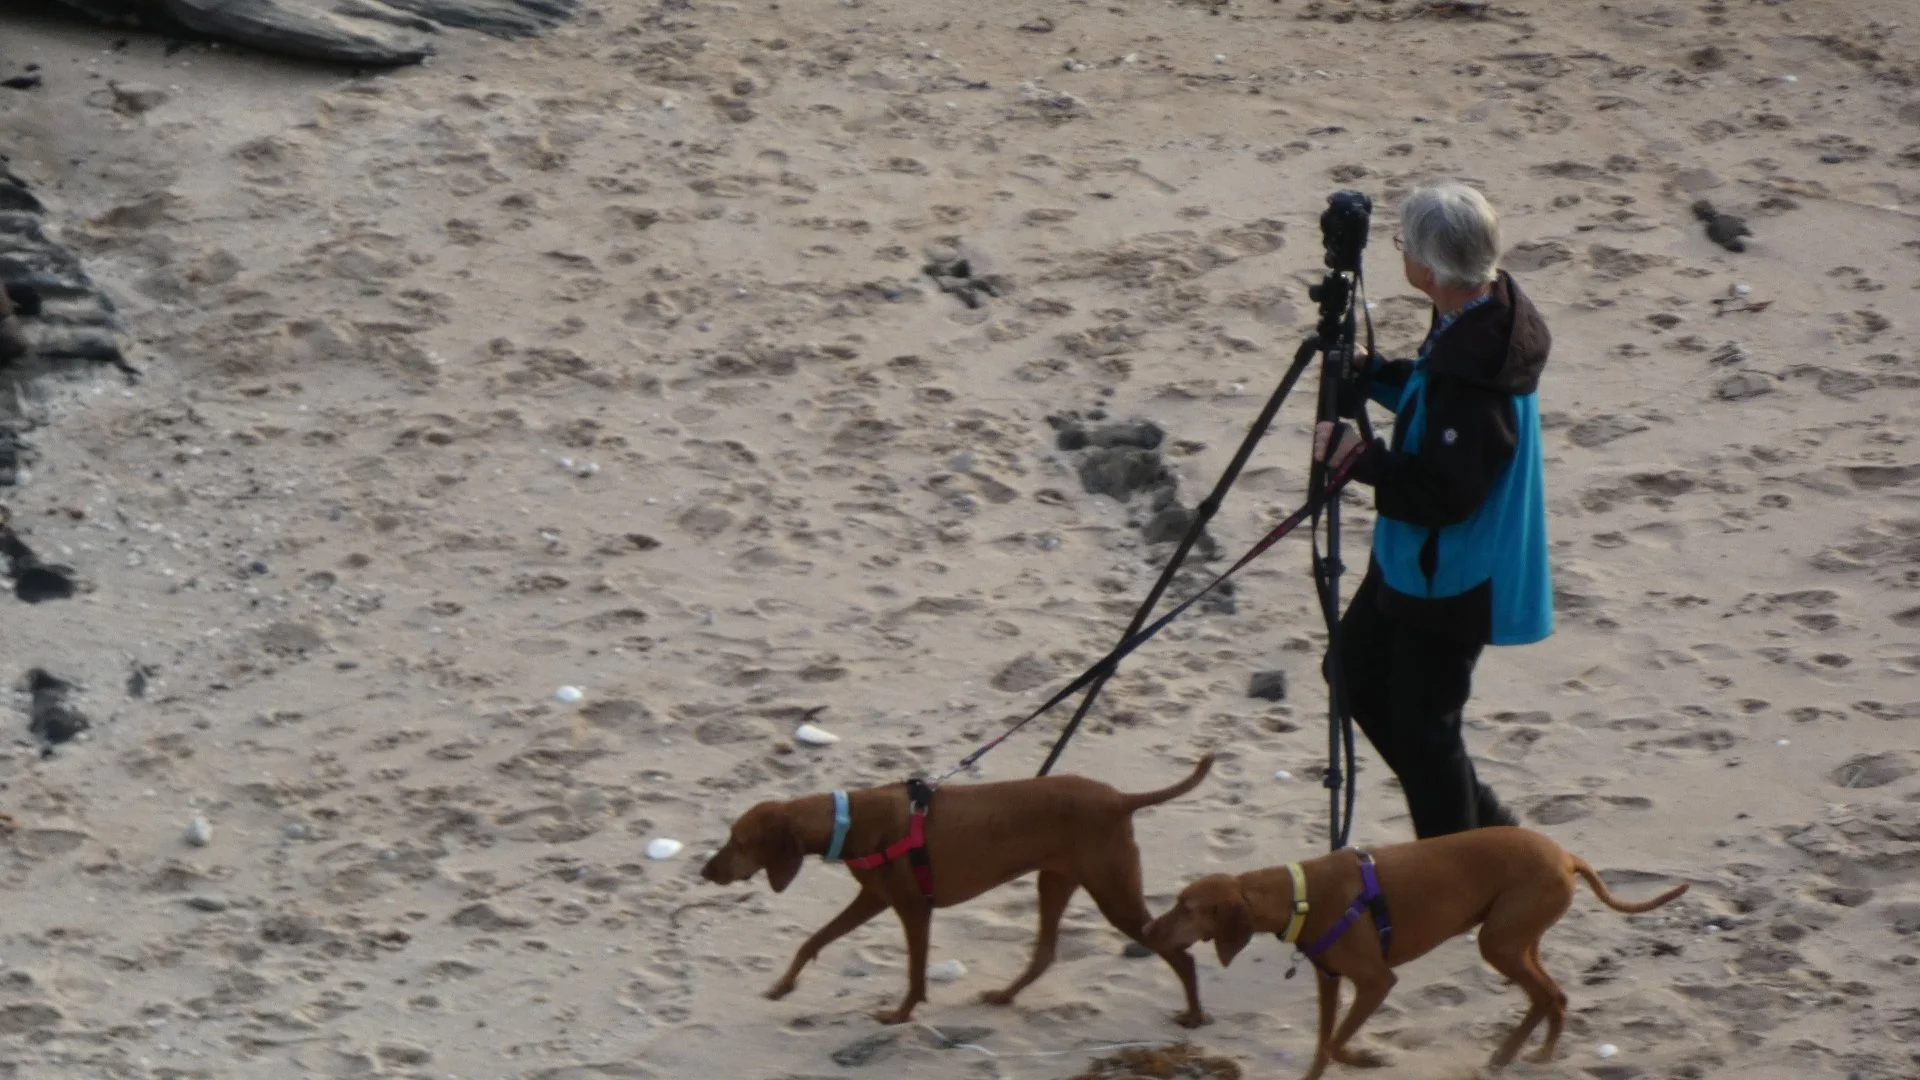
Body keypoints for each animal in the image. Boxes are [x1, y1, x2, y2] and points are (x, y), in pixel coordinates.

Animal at [701, 754, 1215, 1027]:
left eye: (738, 841)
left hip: (1113, 894)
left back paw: (1193, 1016)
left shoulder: (913, 909)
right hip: (1055, 881)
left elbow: (914, 973)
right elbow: (812, 941)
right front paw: (783, 985)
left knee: (1181, 956)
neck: (846, 821)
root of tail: (1122, 798)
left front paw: (899, 1015)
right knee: (1045, 952)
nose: (705, 871)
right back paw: (1004, 996)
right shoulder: (872, 899)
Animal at [1141, 826, 1688, 1079]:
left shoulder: (1376, 982)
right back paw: (1533, 1055)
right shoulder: (1328, 980)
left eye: (1187, 908)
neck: (1298, 895)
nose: (1146, 930)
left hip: (1499, 941)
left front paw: (1367, 1058)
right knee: (1555, 996)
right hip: (1518, 938)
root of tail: (1567, 856)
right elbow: (1321, 1045)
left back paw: (1516, 1056)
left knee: (1545, 996)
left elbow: (1337, 1043)